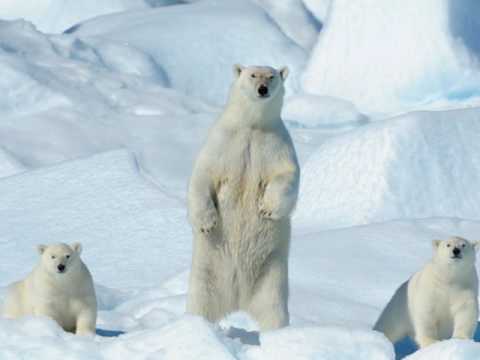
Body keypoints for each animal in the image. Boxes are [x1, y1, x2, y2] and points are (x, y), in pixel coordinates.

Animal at [188, 64, 300, 330]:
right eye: (252, 75)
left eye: (271, 76)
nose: (263, 89)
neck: (252, 126)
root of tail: (238, 300)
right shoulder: (223, 143)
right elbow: (203, 175)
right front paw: (207, 222)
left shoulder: (276, 145)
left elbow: (287, 175)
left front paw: (267, 208)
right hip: (207, 270)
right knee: (200, 302)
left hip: (271, 274)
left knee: (273, 310)